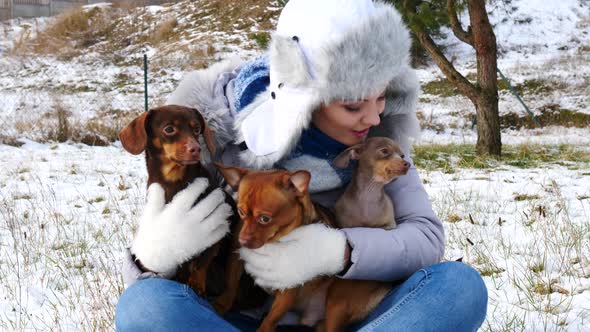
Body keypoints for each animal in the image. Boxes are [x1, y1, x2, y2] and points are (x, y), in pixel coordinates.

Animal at [119, 104, 260, 314]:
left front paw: (196, 282)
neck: (175, 180)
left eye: (197, 129)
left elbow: (203, 259)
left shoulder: (219, 227)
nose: (196, 149)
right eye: (169, 129)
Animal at [216, 165, 394, 332]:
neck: (273, 243)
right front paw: (221, 304)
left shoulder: (288, 289)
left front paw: (264, 328)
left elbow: (272, 318)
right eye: (240, 212)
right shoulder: (235, 260)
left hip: (337, 301)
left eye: (265, 219)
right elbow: (230, 286)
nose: (242, 240)